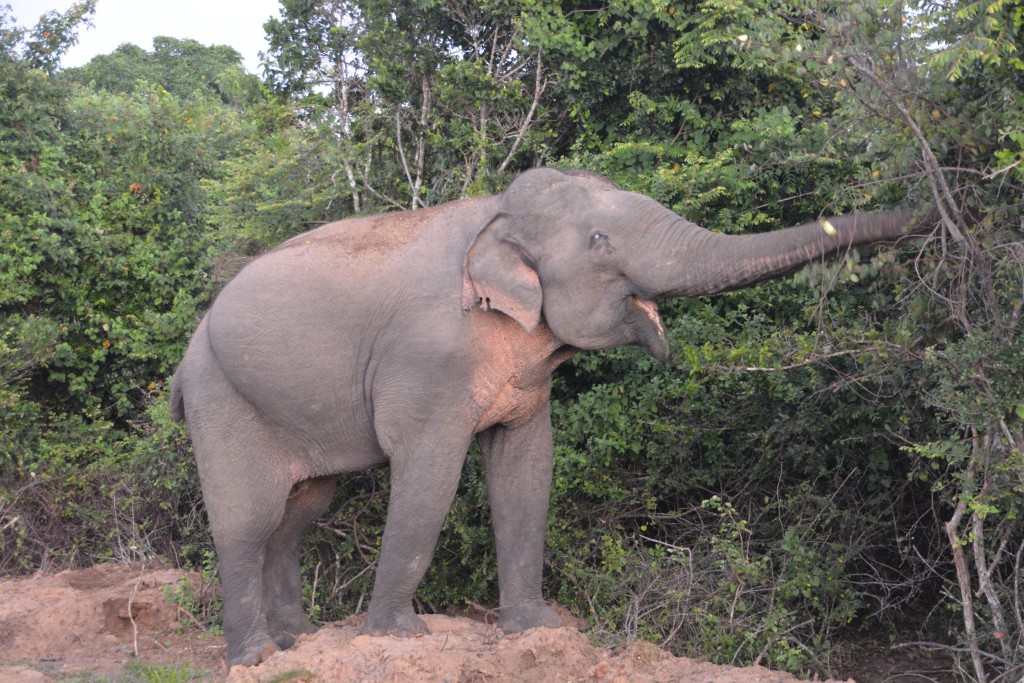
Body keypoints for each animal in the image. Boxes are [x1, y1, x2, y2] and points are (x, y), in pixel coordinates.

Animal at [170, 167, 930, 666]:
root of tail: (187, 354)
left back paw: (297, 645)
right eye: (598, 239)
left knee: (298, 515)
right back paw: (255, 656)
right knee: (247, 523)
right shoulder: (427, 362)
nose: (926, 216)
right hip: (220, 397)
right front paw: (399, 638)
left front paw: (534, 630)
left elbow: (527, 469)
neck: (493, 215)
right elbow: (430, 474)